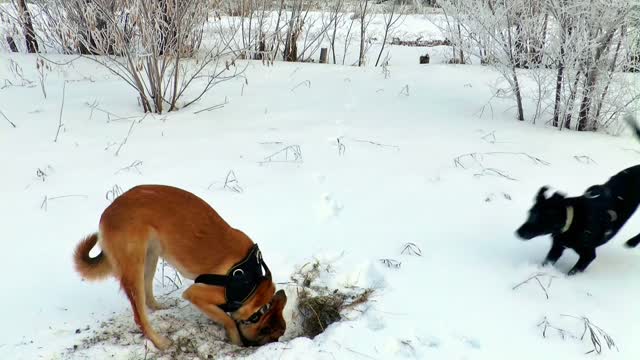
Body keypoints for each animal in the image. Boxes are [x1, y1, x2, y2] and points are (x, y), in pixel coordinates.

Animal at [72, 184, 288, 350]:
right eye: (271, 338)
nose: (252, 346)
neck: (252, 285)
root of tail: (109, 210)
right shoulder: (196, 293)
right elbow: (228, 320)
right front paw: (235, 339)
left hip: (151, 255)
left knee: (147, 294)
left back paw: (158, 306)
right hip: (135, 266)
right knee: (140, 316)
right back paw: (160, 343)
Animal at [516, 116, 640, 274]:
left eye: (542, 217)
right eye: (530, 213)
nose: (518, 232)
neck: (573, 219)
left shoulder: (588, 254)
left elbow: (572, 272)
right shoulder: (557, 247)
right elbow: (546, 262)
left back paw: (632, 242)